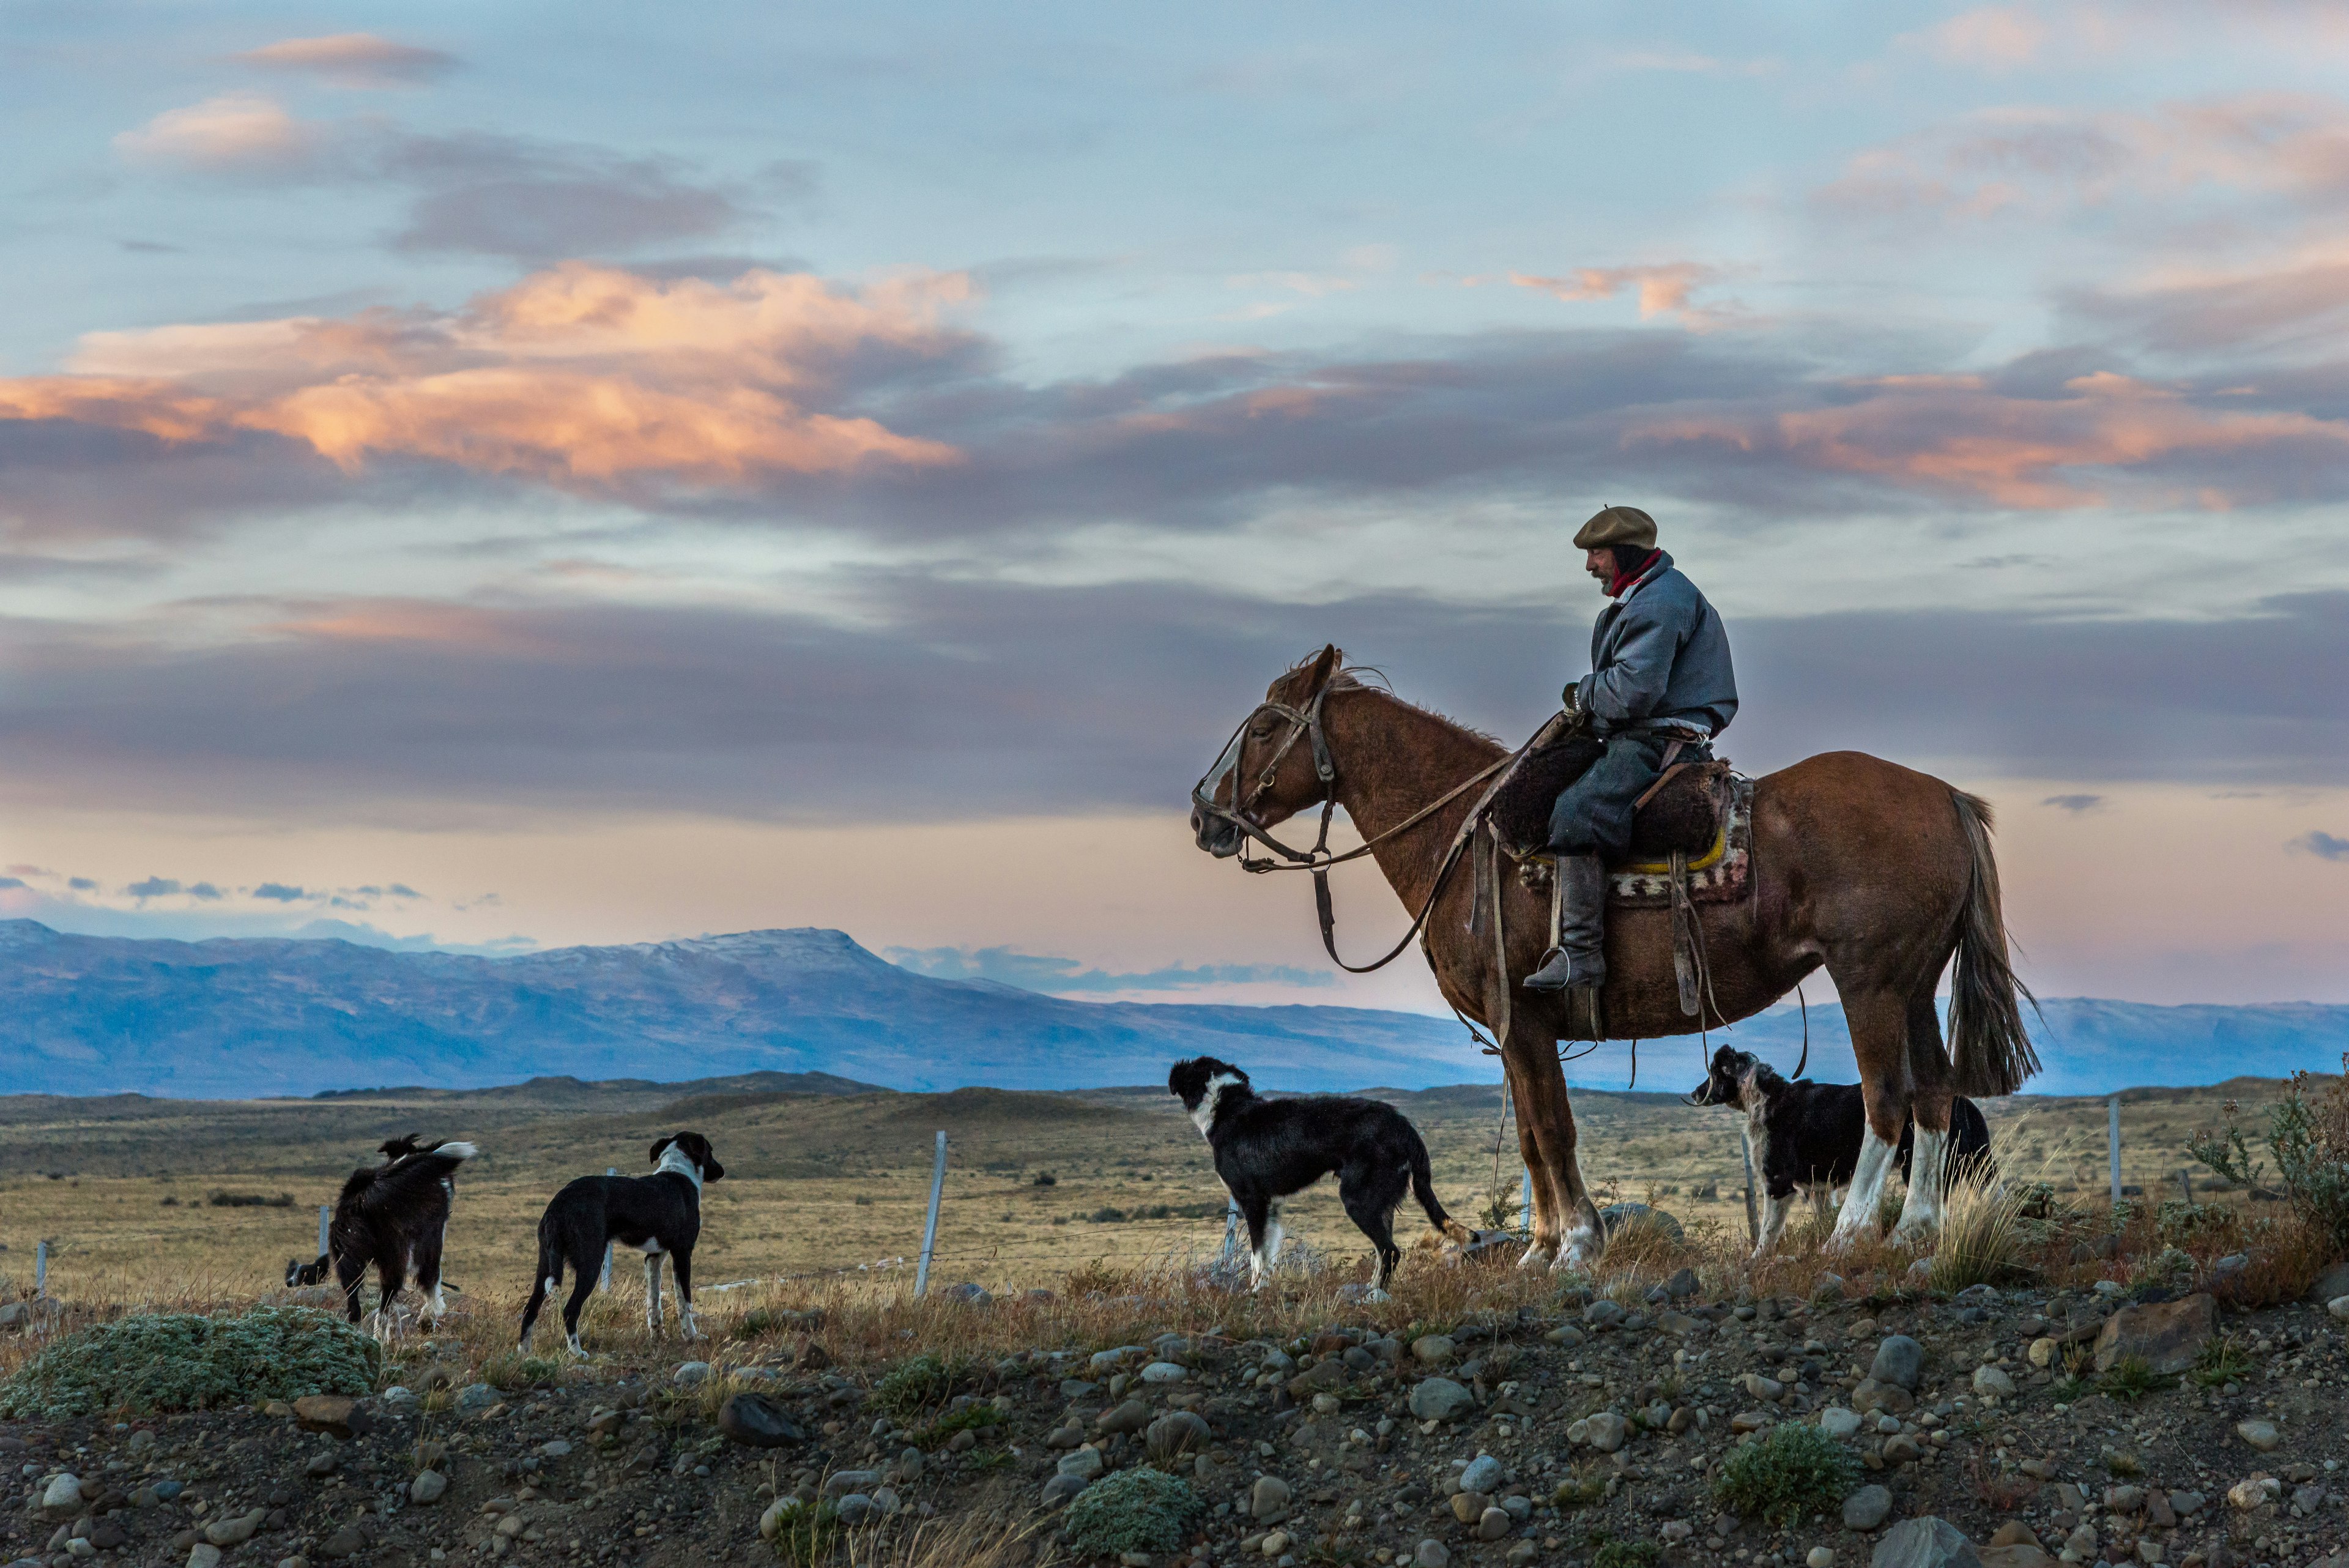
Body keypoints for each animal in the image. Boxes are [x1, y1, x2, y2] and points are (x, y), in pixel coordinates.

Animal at [322, 1133, 477, 1344]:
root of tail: (364, 1195)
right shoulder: (432, 1235)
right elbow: (432, 1278)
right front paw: (427, 1320)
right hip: (396, 1253)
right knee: (388, 1298)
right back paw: (381, 1337)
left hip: (347, 1256)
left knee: (356, 1304)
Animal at [524, 1133, 723, 1354]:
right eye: (710, 1151)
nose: (722, 1171)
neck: (679, 1172)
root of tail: (560, 1202)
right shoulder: (682, 1252)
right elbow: (685, 1301)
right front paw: (692, 1337)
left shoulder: (654, 1257)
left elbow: (654, 1303)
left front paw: (658, 1337)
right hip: (591, 1263)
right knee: (570, 1310)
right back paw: (577, 1353)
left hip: (545, 1265)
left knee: (530, 1308)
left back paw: (524, 1354)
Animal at [1170, 1062, 1475, 1307]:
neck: (1227, 1107)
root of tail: (1404, 1125)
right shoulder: (1271, 1207)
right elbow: (1267, 1255)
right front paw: (1265, 1288)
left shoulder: (1252, 1202)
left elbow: (1257, 1257)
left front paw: (1253, 1292)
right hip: (1381, 1203)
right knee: (1383, 1252)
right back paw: (1372, 1289)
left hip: (1357, 1200)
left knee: (1390, 1251)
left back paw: (1372, 1296)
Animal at [1701, 1048, 1992, 1260]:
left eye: (1712, 1073)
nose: (1694, 1093)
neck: (1764, 1095)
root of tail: (1967, 1105)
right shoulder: (1820, 1189)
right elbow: (1822, 1222)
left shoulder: (1777, 1184)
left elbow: (1767, 1232)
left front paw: (1755, 1262)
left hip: (1923, 1172)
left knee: (1933, 1216)